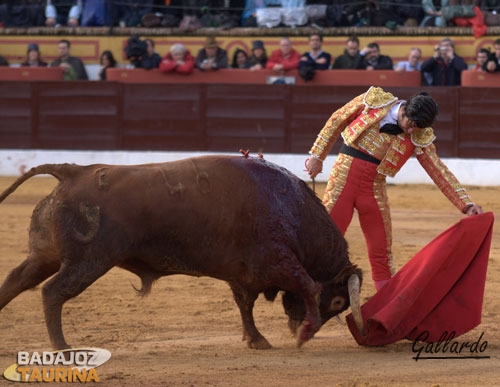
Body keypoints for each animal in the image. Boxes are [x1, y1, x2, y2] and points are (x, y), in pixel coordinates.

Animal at [0, 156, 364, 350]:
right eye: (337, 302)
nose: (296, 325)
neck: (291, 209)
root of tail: (74, 171)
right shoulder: (277, 262)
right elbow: (308, 285)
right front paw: (304, 335)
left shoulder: (241, 275)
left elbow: (244, 305)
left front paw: (256, 339)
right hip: (89, 261)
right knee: (52, 292)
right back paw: (62, 347)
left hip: (45, 255)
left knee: (16, 281)